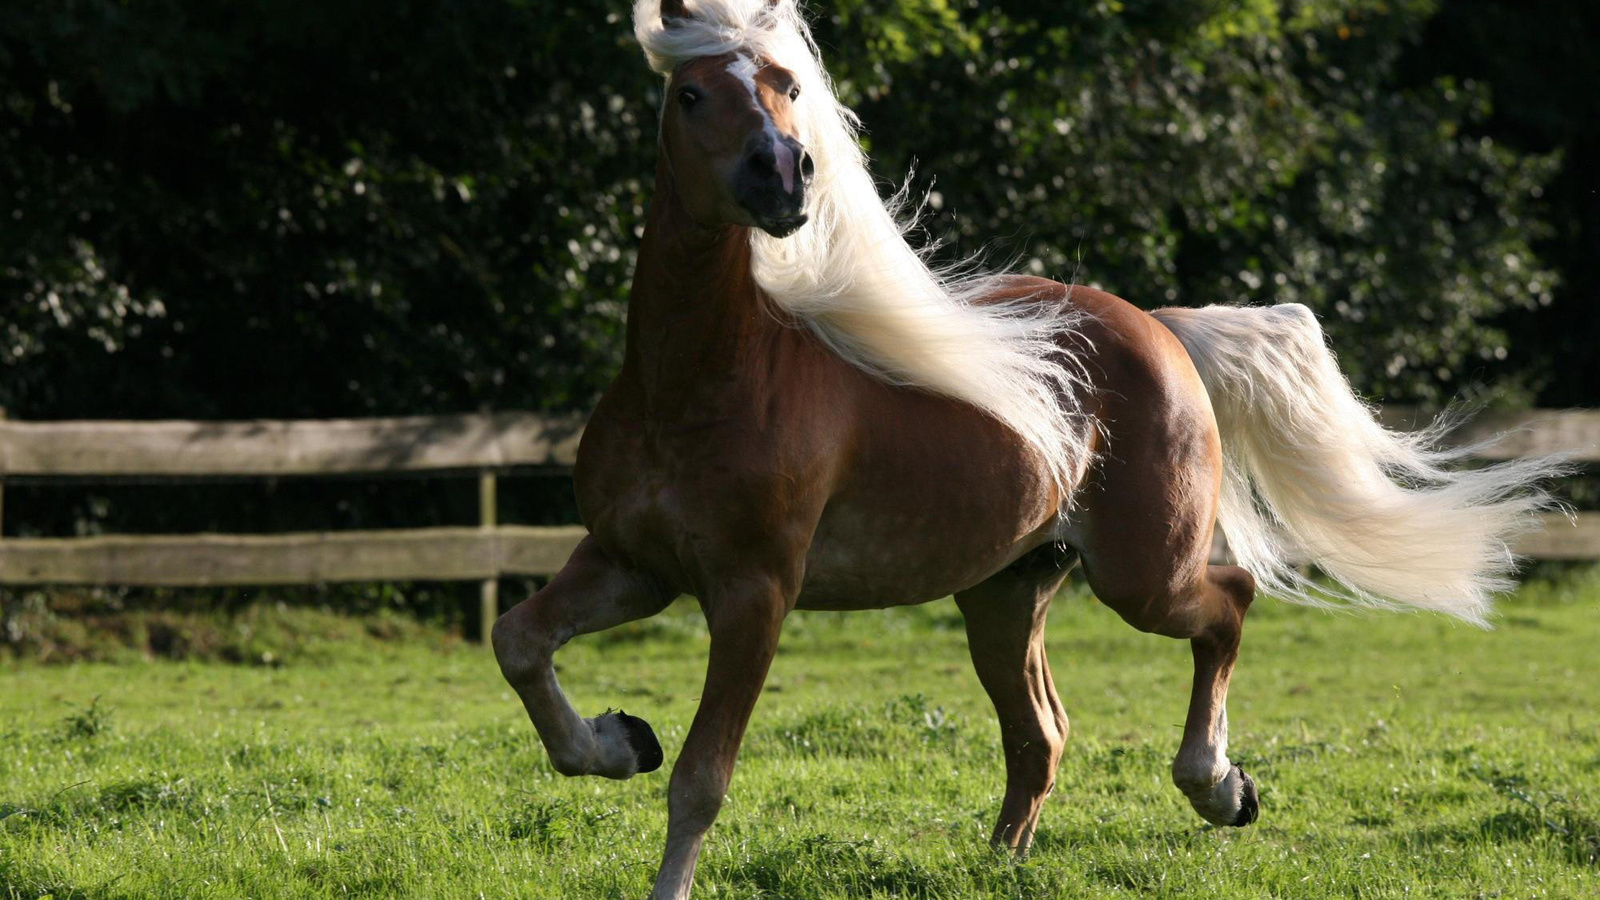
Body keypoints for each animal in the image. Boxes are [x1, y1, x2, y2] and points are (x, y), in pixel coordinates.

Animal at [489, 3, 1561, 890]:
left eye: (789, 86)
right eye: (690, 92)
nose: (783, 175)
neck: (700, 384)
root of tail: (1161, 327)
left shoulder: (755, 593)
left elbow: (702, 779)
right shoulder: (633, 563)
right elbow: (519, 643)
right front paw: (619, 739)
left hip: (1140, 577)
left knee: (1228, 602)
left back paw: (1218, 785)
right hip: (1006, 592)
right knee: (1041, 735)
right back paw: (1001, 864)